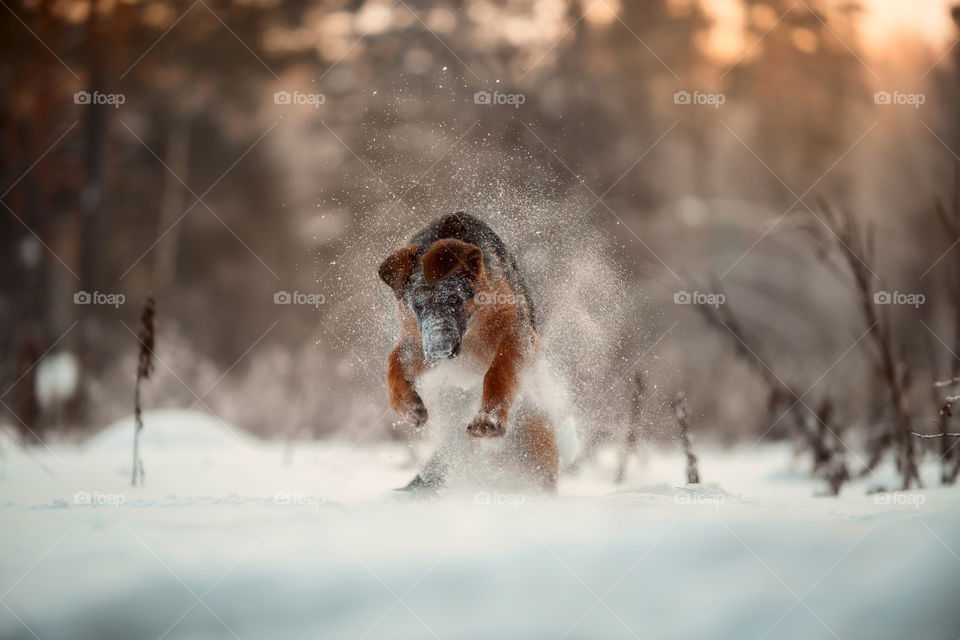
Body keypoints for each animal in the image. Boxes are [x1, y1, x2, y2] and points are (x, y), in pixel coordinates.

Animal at [376, 214, 560, 490]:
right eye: (418, 305)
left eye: (453, 299)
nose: (439, 351)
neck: (472, 331)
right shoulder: (417, 342)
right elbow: (394, 363)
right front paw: (408, 405)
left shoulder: (518, 335)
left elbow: (498, 371)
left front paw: (489, 420)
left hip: (537, 430)